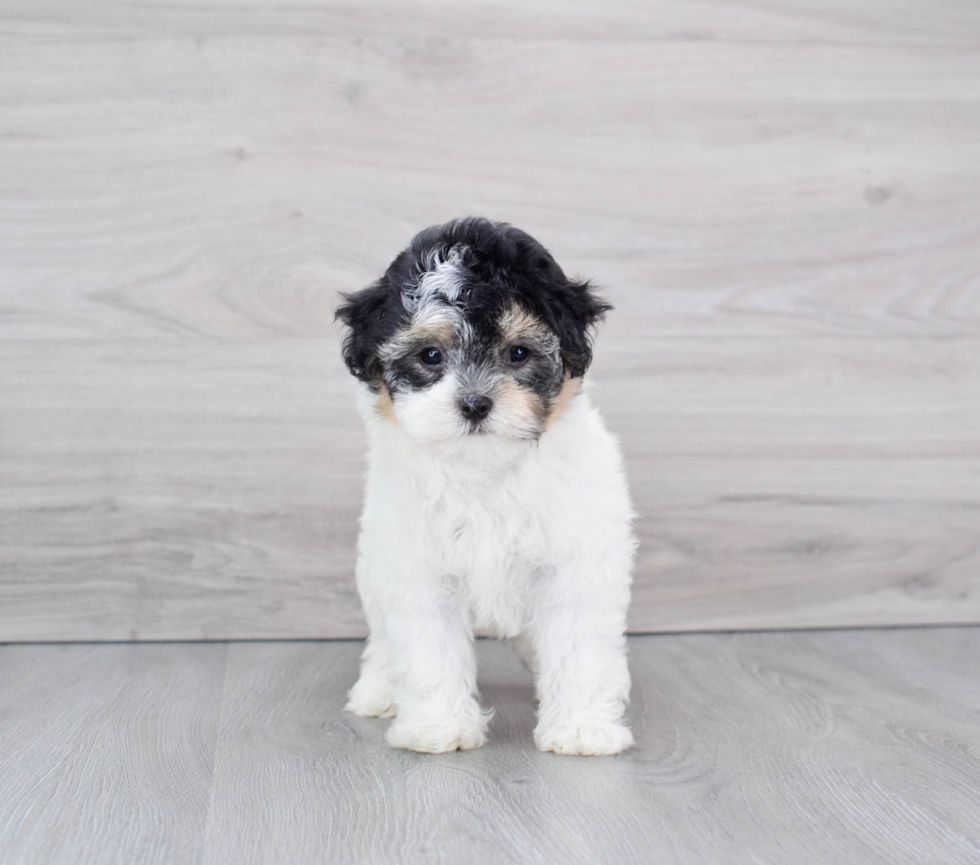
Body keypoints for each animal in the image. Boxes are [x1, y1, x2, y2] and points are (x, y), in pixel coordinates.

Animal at [334, 218, 636, 756]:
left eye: (518, 353)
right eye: (430, 355)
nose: (475, 403)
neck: (484, 471)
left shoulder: (575, 562)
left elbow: (579, 644)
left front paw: (582, 727)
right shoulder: (419, 568)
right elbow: (428, 648)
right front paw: (438, 727)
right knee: (383, 640)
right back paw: (378, 691)